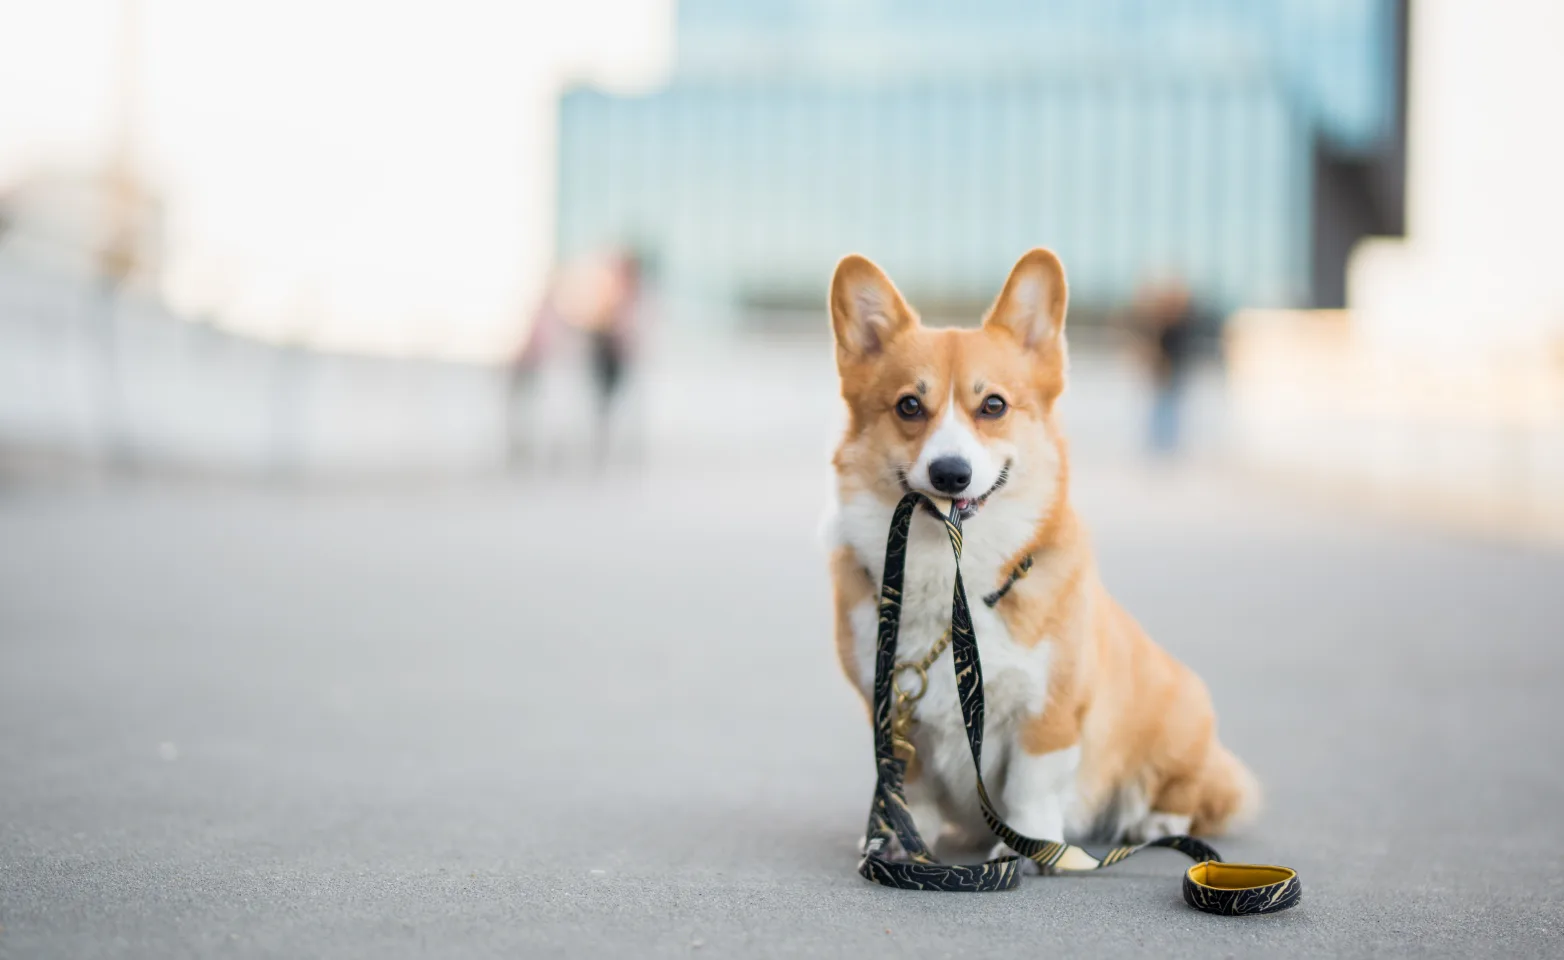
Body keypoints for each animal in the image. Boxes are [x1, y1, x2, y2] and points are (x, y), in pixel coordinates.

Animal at [825, 250, 1251, 875]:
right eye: (909, 405)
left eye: (993, 405)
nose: (950, 473)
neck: (952, 579)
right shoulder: (895, 714)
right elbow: (912, 786)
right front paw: (904, 841)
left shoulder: (1050, 713)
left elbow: (1031, 786)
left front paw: (1026, 848)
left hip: (1180, 716)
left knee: (1195, 792)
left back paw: (1156, 821)